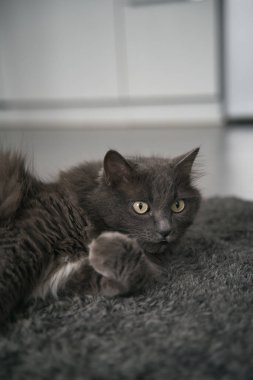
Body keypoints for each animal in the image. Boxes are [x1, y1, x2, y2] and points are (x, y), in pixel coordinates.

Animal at [0, 148, 202, 320]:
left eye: (178, 206)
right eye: (141, 207)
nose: (165, 230)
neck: (81, 211)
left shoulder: (64, 277)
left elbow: (133, 275)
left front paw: (105, 248)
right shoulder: (25, 243)